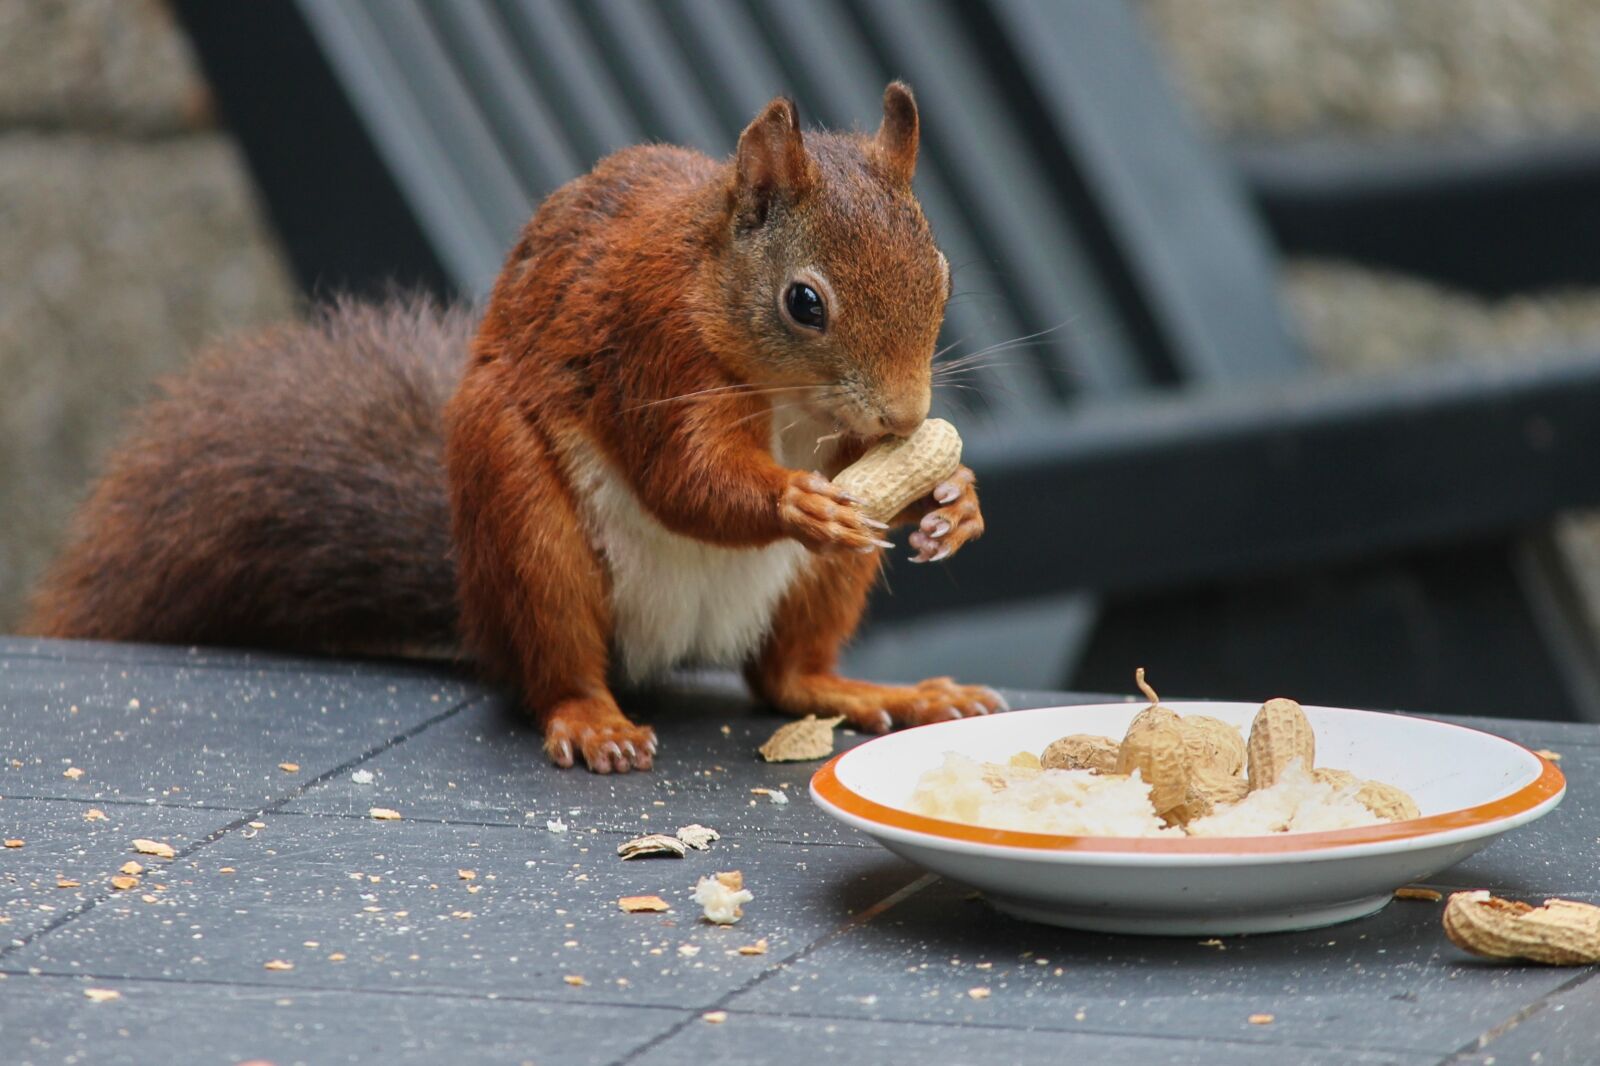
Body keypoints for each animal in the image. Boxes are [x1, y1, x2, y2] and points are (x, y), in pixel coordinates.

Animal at [26, 83, 1005, 772]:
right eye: (805, 303)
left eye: (942, 273)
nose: (907, 413)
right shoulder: (651, 351)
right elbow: (685, 479)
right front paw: (803, 504)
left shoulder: (842, 435)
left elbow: (865, 464)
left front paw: (953, 500)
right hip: (526, 521)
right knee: (558, 667)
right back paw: (595, 722)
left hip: (816, 589)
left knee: (784, 677)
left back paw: (886, 692)